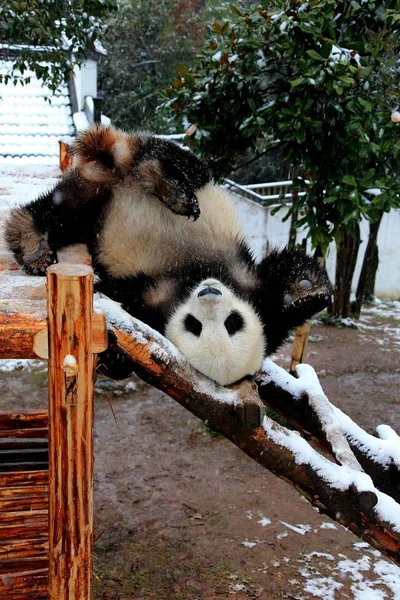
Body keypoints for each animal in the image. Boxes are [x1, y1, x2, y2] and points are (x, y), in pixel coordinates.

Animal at [5, 123, 332, 384]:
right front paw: (309, 288)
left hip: (91, 209)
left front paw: (115, 355)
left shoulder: (152, 303)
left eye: (230, 323)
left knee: (62, 214)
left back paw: (31, 241)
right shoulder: (248, 284)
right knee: (176, 160)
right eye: (196, 325)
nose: (209, 293)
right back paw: (168, 187)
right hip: (152, 167)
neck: (191, 278)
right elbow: (283, 273)